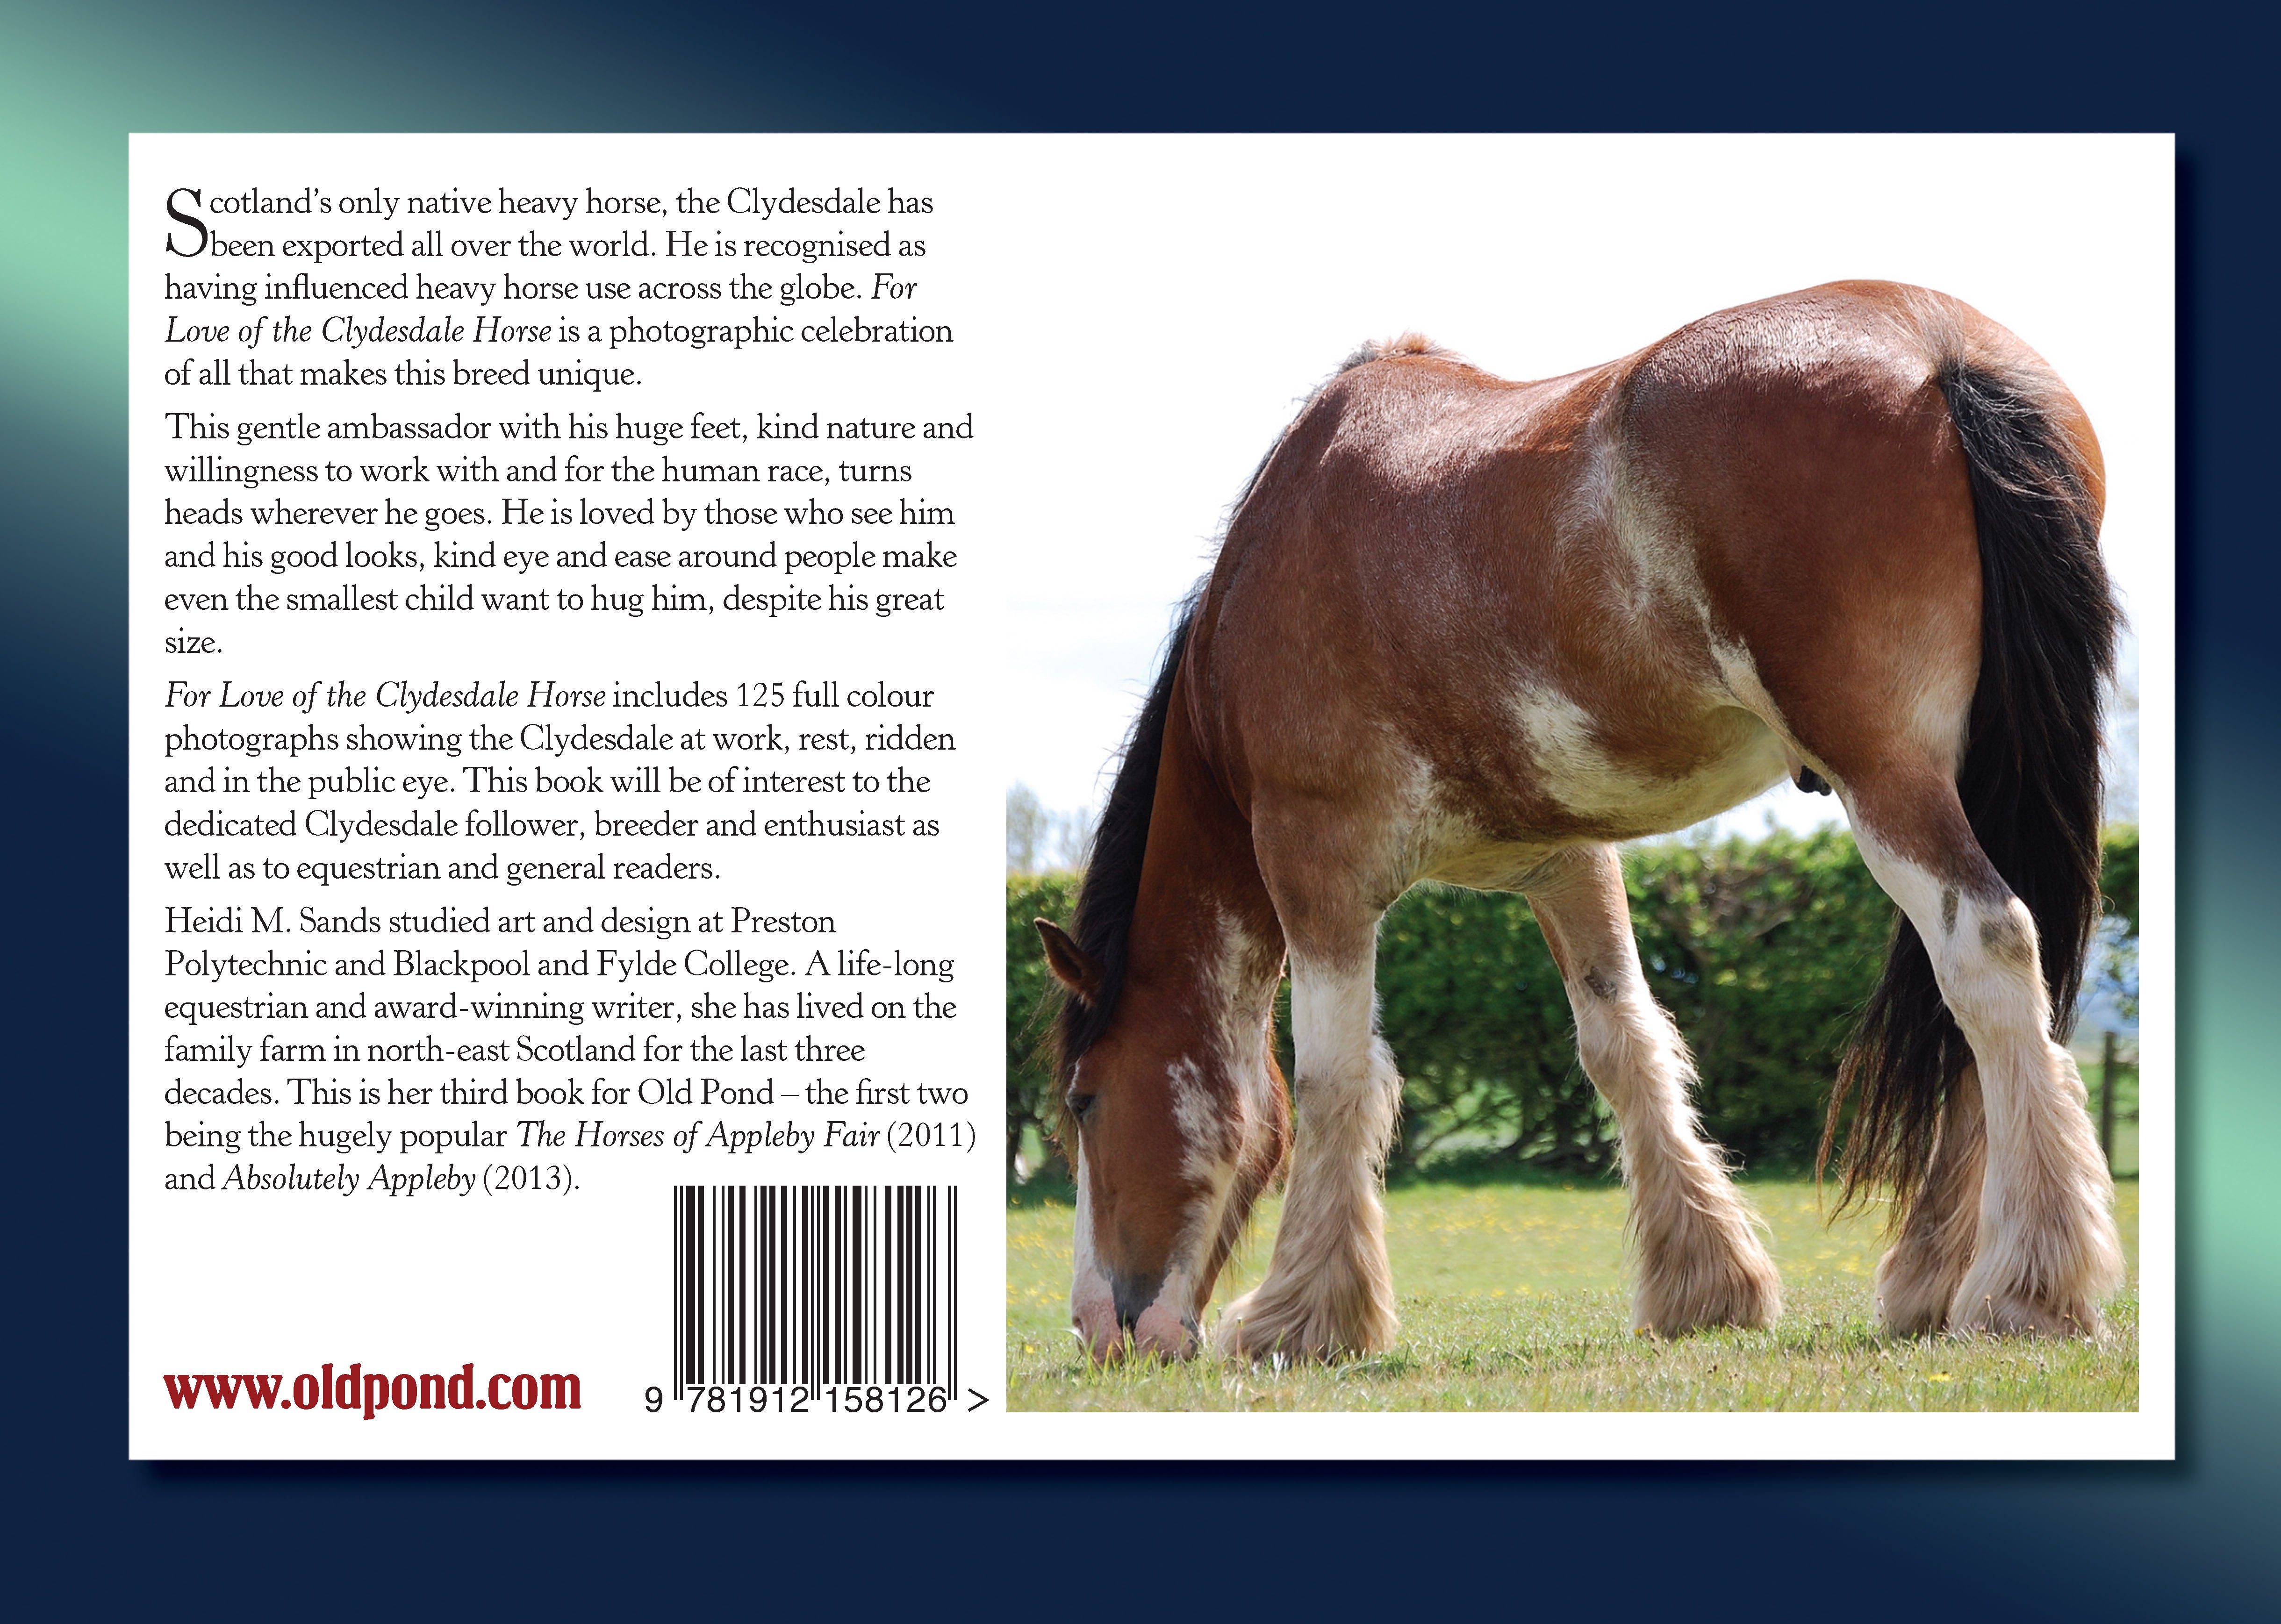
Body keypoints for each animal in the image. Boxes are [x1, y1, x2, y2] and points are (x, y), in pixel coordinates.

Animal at [1033, 281, 2124, 1364]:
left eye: (1083, 1099)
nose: (1098, 1325)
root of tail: (1937, 349)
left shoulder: (1316, 868)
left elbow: (1336, 1079)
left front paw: (1299, 1318)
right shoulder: (1564, 861)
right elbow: (1622, 1040)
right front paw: (1705, 1286)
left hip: (1887, 781)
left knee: (1987, 954)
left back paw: (2021, 1289)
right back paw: (1936, 1281)